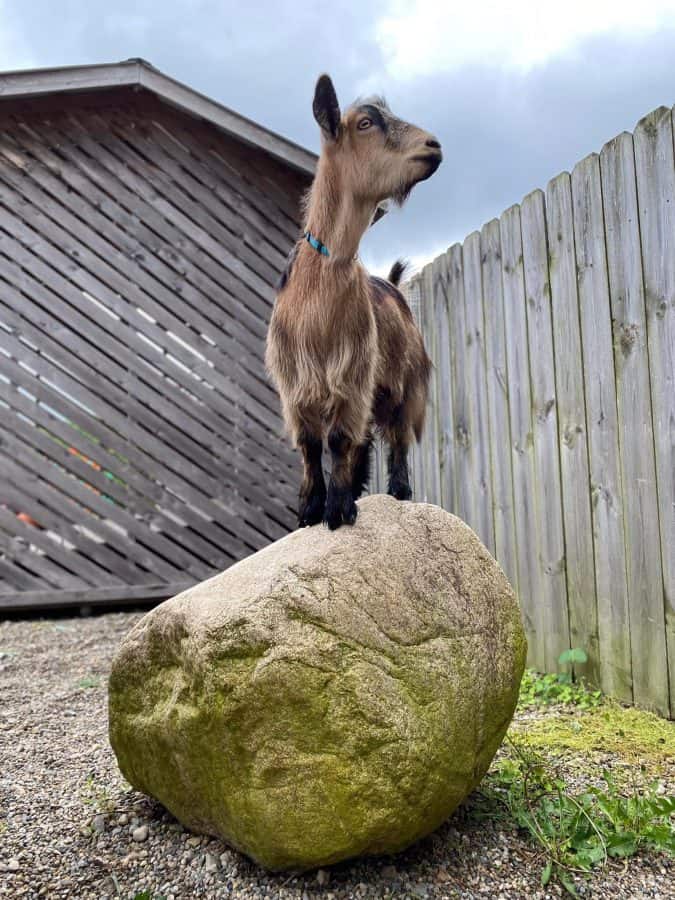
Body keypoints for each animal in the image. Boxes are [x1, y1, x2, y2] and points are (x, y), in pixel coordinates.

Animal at [266, 77, 440, 532]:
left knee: (397, 436)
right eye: (365, 123)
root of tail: (392, 284)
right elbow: (311, 443)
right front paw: (311, 510)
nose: (434, 145)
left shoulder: (352, 371)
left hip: (406, 382)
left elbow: (338, 438)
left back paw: (398, 491)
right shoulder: (297, 384)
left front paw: (337, 509)